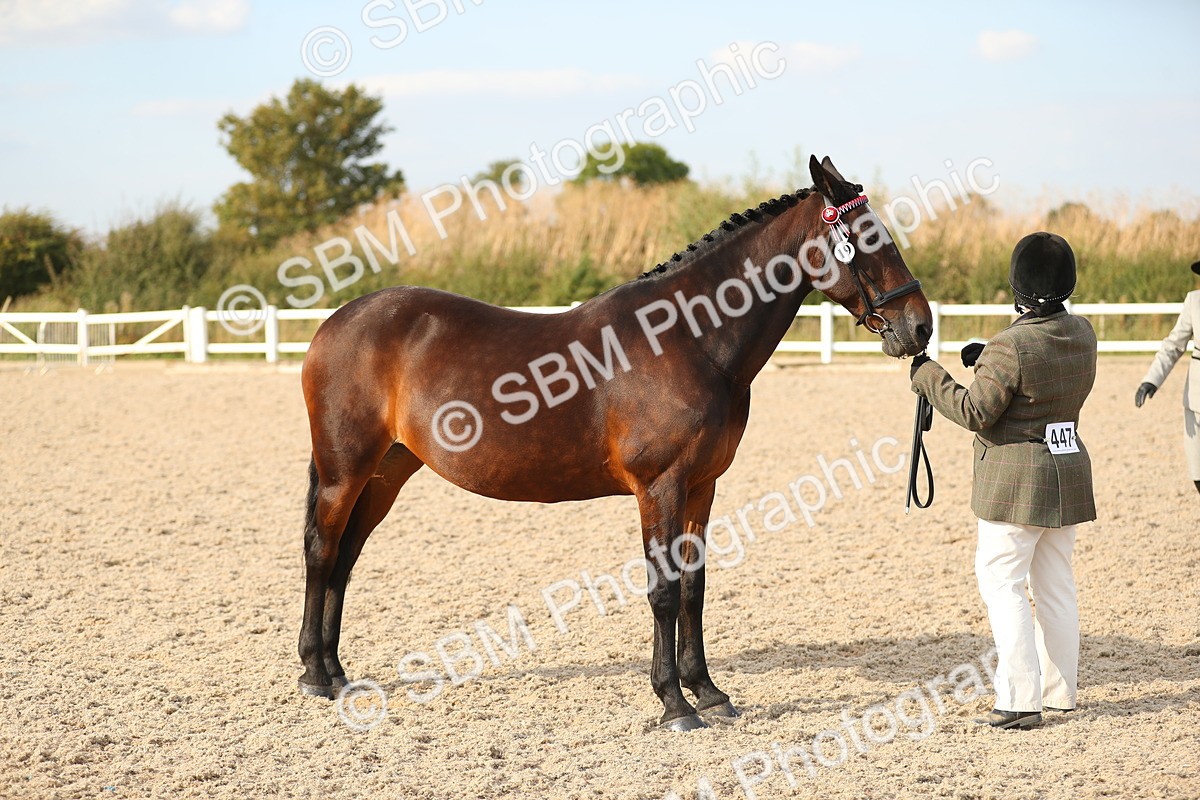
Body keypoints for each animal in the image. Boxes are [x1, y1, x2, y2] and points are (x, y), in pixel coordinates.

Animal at [297, 156, 933, 731]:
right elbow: (664, 591)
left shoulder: (702, 487)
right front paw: (674, 704)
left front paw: (709, 693)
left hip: (385, 472)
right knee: (322, 551)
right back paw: (315, 675)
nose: (921, 326)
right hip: (344, 470)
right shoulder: (660, 486)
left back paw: (336, 670)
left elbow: (695, 587)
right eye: (866, 238)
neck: (688, 340)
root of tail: (336, 322)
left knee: (347, 557)